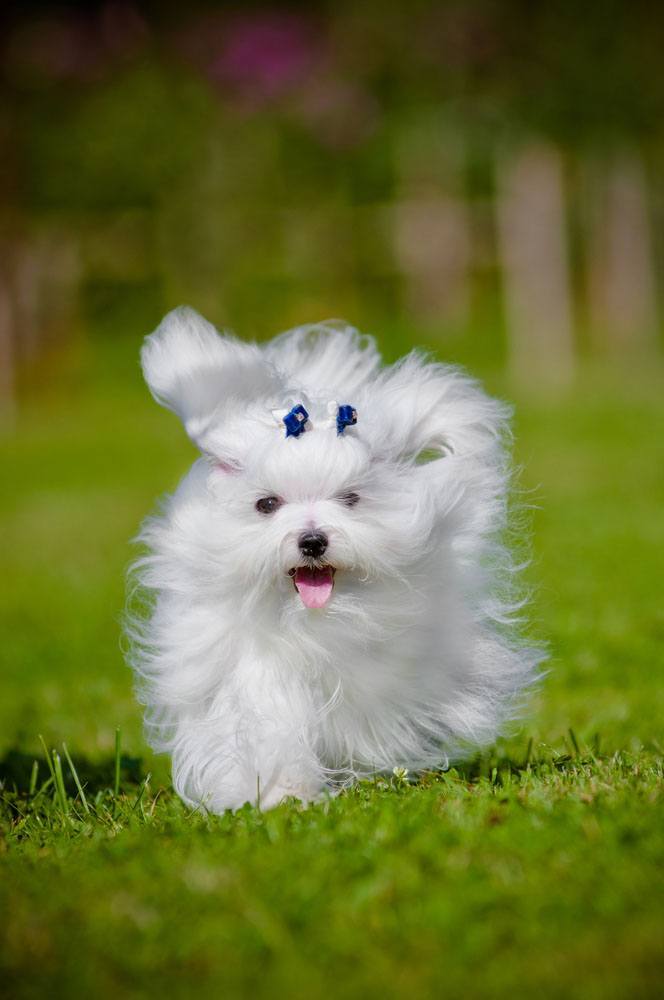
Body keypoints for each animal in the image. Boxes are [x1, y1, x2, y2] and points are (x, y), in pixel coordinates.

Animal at [127, 306, 544, 812]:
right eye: (267, 504)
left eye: (350, 499)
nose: (312, 541)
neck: (315, 621)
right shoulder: (249, 667)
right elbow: (270, 719)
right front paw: (282, 791)